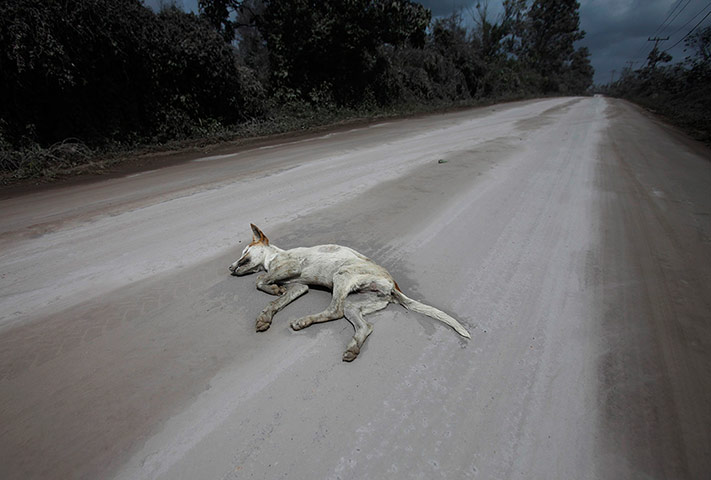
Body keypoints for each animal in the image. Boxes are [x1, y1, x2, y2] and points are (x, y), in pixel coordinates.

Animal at [229, 224, 472, 360]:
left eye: (245, 251)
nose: (230, 268)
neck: (274, 257)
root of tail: (393, 285)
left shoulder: (293, 267)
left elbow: (259, 280)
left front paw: (272, 289)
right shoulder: (299, 286)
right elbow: (275, 300)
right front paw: (266, 314)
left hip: (342, 276)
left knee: (334, 311)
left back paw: (304, 321)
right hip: (356, 304)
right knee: (366, 325)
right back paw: (353, 349)